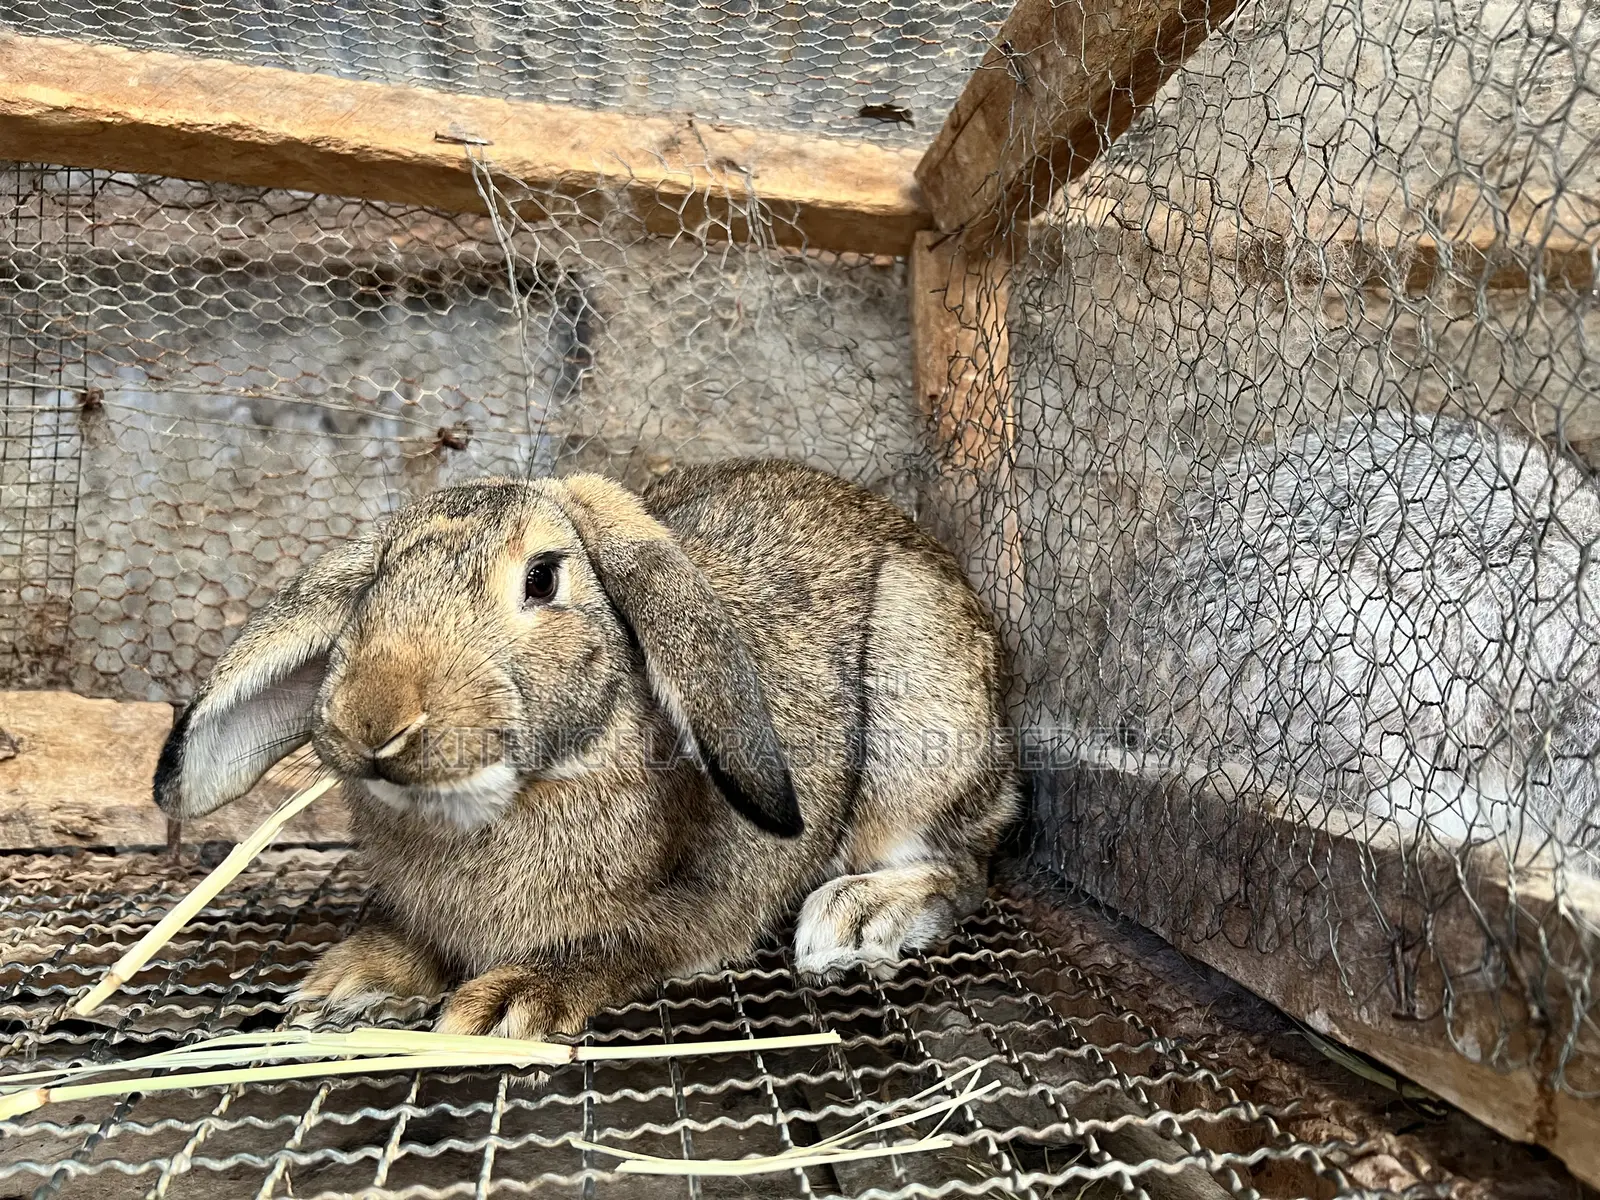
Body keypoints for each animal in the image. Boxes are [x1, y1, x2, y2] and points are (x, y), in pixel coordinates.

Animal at [153, 459, 1018, 1037]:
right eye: (375, 585)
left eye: (542, 577)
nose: (375, 721)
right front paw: (350, 980)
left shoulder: (699, 910)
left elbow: (621, 946)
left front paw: (505, 1004)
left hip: (919, 736)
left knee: (963, 867)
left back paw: (857, 915)